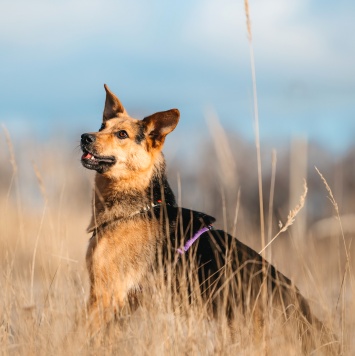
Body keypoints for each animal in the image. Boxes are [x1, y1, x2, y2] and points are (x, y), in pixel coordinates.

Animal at [81, 84, 340, 354]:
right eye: (102, 127)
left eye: (122, 134)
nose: (84, 137)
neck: (139, 207)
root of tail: (301, 309)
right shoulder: (124, 302)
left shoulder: (105, 295)